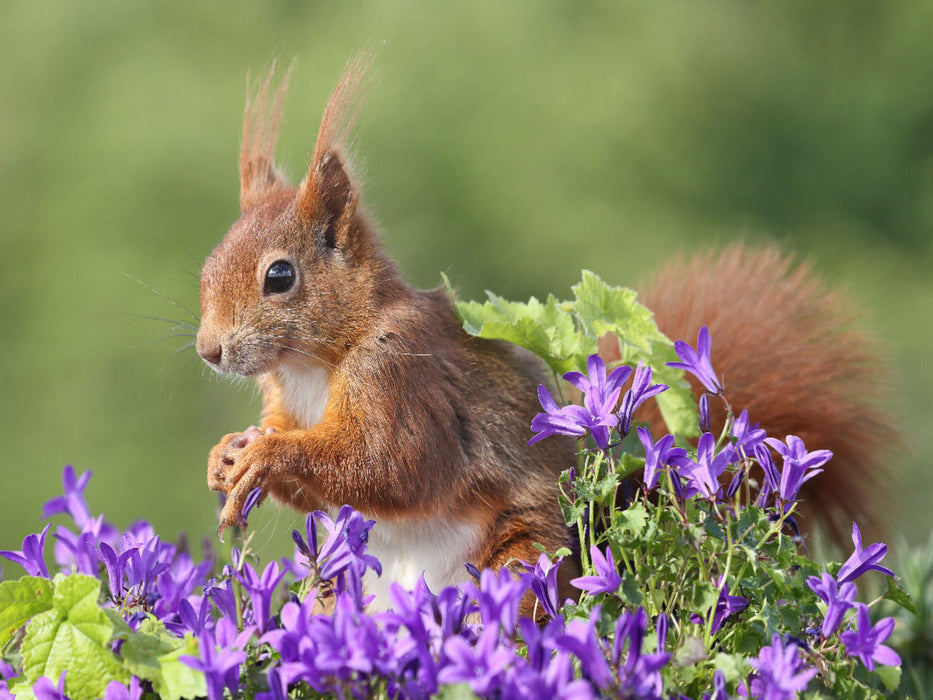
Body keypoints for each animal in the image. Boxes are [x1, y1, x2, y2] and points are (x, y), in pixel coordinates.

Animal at [197, 57, 896, 608]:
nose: (209, 350)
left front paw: (265, 456)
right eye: (208, 264)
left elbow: (390, 466)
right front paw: (227, 455)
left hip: (525, 553)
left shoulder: (400, 376)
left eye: (279, 276)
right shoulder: (285, 399)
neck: (315, 361)